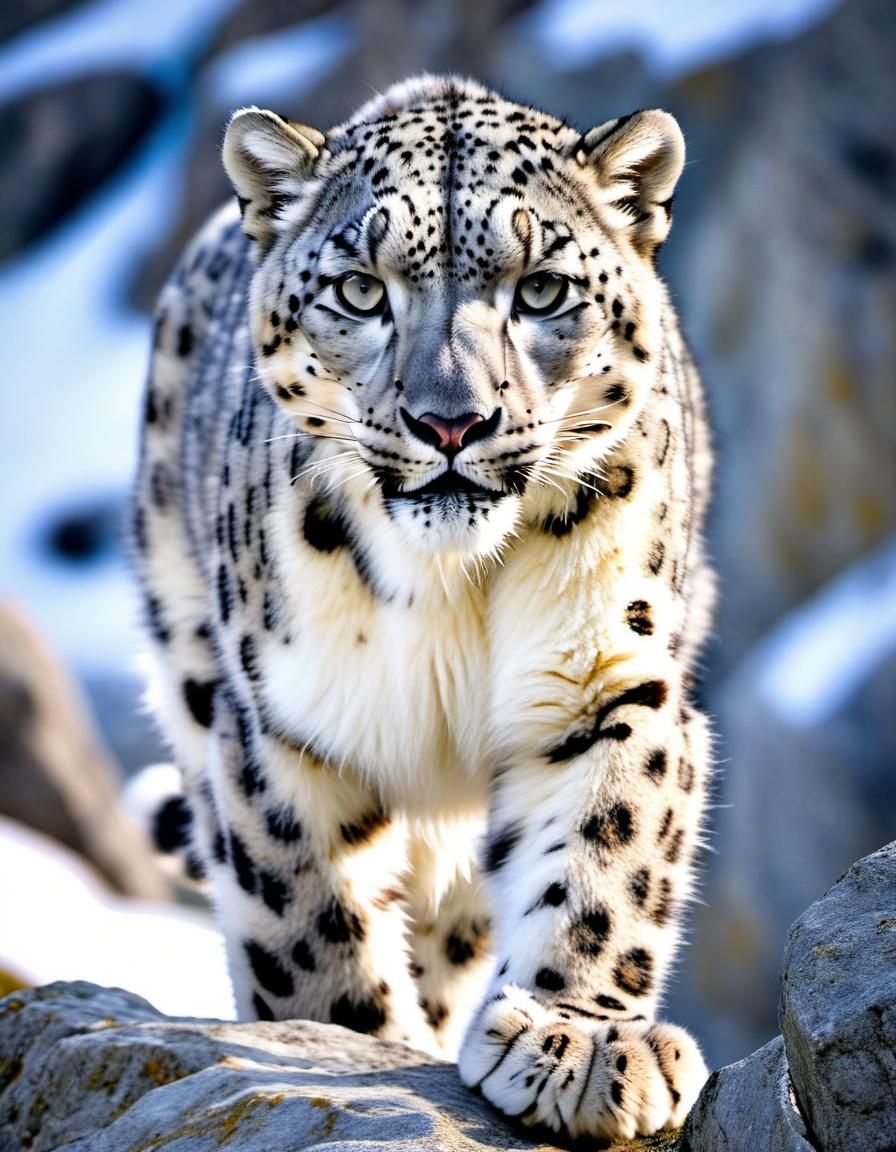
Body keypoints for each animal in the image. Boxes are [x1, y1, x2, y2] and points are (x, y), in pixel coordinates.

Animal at [132, 73, 715, 1142]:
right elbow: (307, 924)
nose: (451, 422)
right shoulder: (286, 723)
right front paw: (356, 1044)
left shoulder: (609, 677)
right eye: (362, 290)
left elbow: (607, 849)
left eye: (542, 289)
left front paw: (583, 1042)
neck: (454, 585)